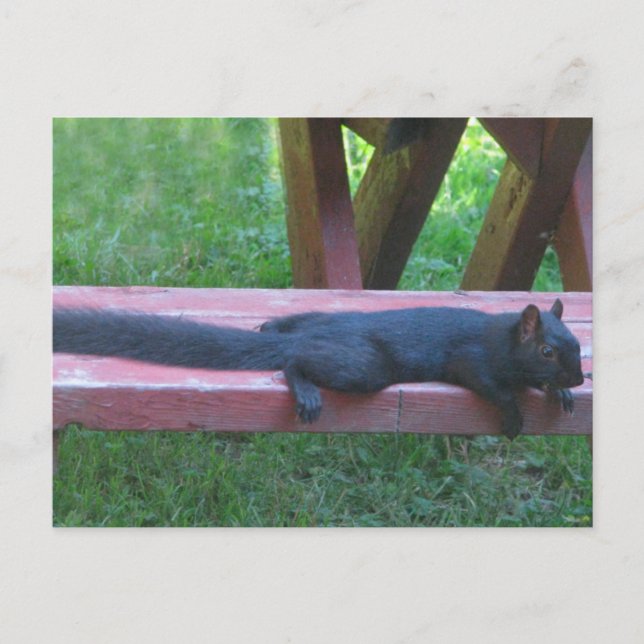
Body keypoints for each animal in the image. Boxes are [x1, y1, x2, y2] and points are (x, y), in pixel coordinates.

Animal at [53, 298, 584, 438]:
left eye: (579, 346)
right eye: (547, 351)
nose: (579, 377)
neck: (503, 337)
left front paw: (559, 394)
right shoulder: (470, 357)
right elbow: (492, 386)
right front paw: (515, 414)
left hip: (316, 319)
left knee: (288, 327)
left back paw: (272, 325)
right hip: (365, 365)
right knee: (294, 360)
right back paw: (304, 388)